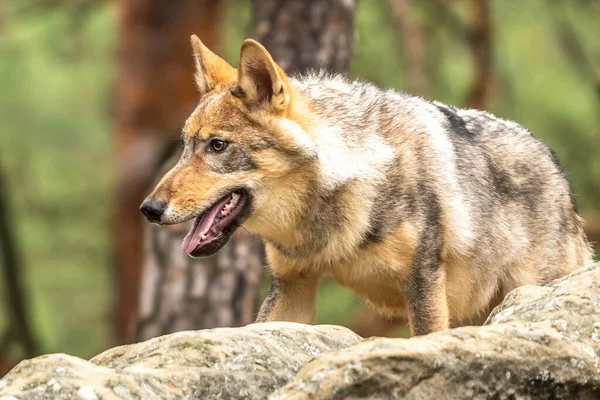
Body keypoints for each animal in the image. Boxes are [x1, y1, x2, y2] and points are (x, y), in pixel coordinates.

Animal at [142, 36, 596, 336]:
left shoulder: (424, 285)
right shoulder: (292, 287)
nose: (148, 209)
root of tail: (558, 171)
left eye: (217, 146)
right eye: (185, 146)